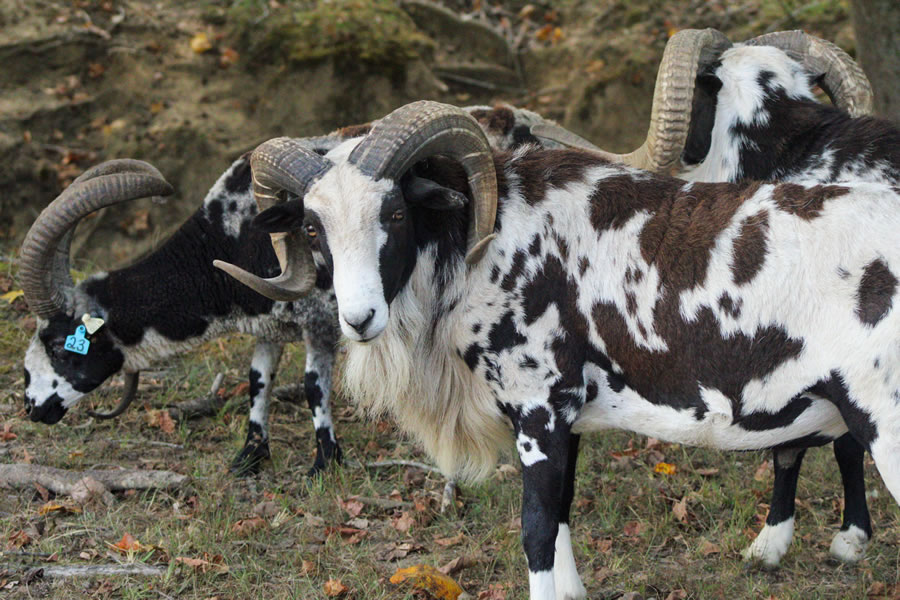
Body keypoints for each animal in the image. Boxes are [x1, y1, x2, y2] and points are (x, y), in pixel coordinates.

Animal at [18, 105, 560, 476]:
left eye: (61, 346)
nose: (30, 408)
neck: (227, 238)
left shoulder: (321, 317)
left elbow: (313, 384)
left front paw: (326, 461)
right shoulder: (270, 321)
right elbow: (258, 380)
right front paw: (250, 455)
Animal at [218, 100, 900, 600]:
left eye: (395, 213)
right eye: (312, 229)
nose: (359, 318)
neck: (487, 247)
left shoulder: (538, 409)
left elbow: (537, 530)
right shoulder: (567, 415)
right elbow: (564, 518)